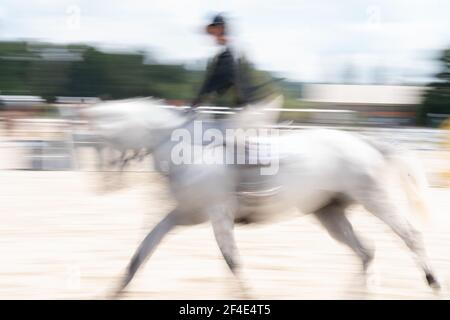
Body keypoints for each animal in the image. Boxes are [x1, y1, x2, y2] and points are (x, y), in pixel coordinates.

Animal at [87, 98, 440, 298]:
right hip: (329, 213)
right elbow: (145, 248)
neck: (186, 152)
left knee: (410, 235)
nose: (105, 180)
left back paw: (433, 281)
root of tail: (366, 143)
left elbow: (232, 260)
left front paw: (247, 293)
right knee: (365, 251)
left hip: (374, 198)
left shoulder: (218, 215)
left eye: (101, 137)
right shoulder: (183, 215)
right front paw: (116, 289)